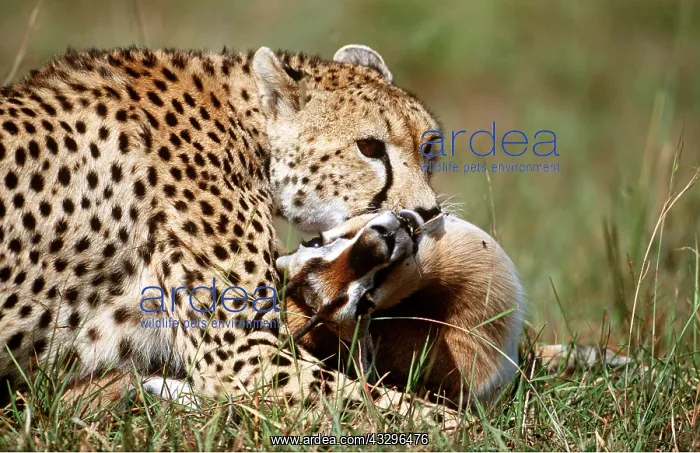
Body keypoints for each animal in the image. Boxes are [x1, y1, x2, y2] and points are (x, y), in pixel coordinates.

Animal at [0, 43, 454, 423]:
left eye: (428, 146)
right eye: (369, 148)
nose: (426, 214)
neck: (248, 128)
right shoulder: (242, 356)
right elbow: (400, 409)